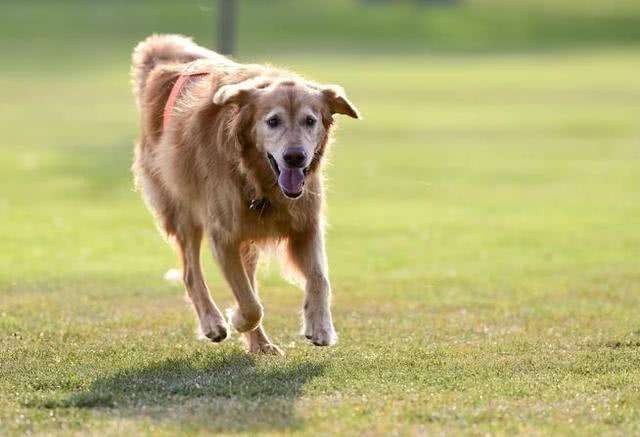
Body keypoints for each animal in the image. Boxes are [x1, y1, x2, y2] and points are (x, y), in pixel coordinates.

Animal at [130, 35, 360, 354]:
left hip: (247, 236)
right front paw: (236, 318)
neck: (256, 178)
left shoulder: (306, 225)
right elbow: (250, 304)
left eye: (310, 121)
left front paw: (320, 326)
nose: (295, 157)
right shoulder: (223, 237)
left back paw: (260, 344)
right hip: (184, 213)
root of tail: (164, 65)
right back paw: (213, 323)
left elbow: (319, 278)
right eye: (272, 121)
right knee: (191, 274)